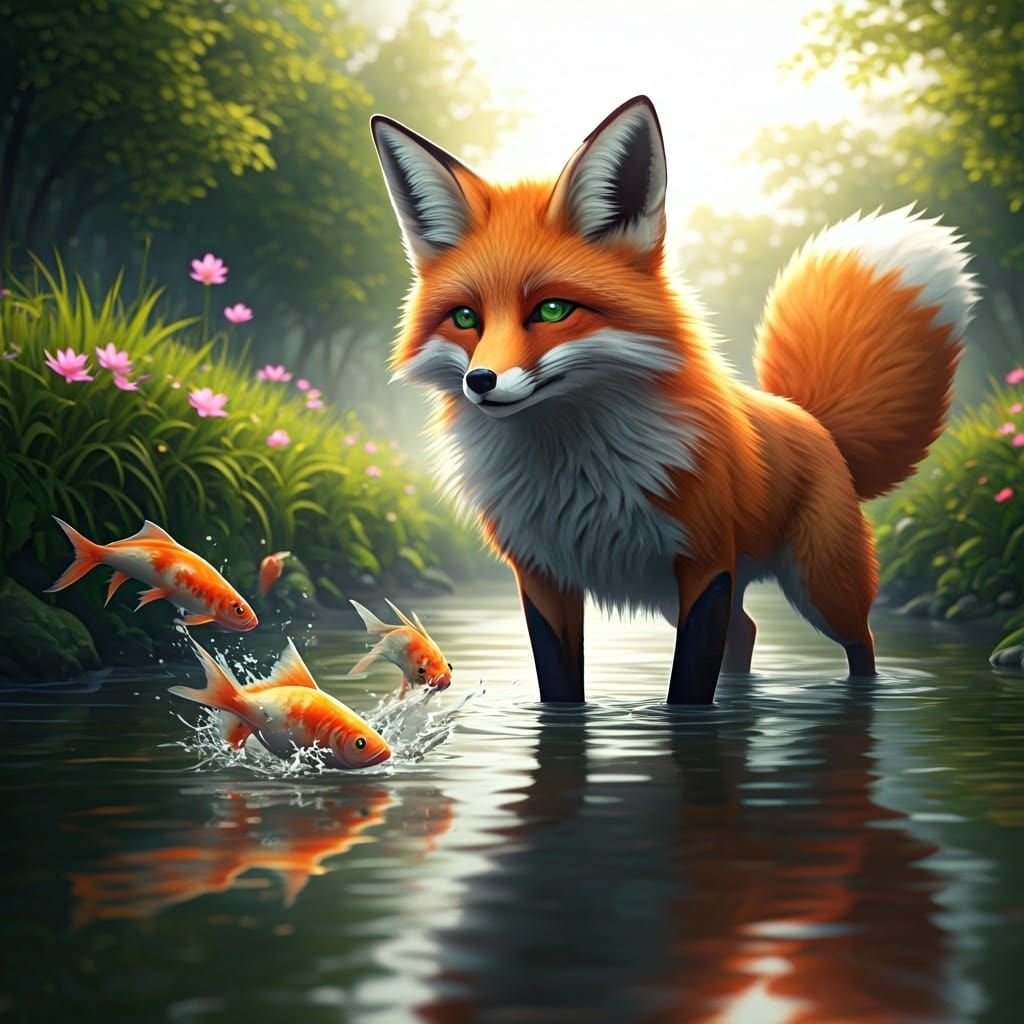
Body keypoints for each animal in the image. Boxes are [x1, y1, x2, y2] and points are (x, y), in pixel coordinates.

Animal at [369, 95, 977, 705]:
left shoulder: (705, 565)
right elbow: (562, 690)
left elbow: (687, 688)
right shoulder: (544, 577)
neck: (576, 473)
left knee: (862, 645)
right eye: (465, 318)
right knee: (747, 630)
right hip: (674, 595)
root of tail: (812, 420)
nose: (481, 380)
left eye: (552, 310)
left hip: (822, 588)